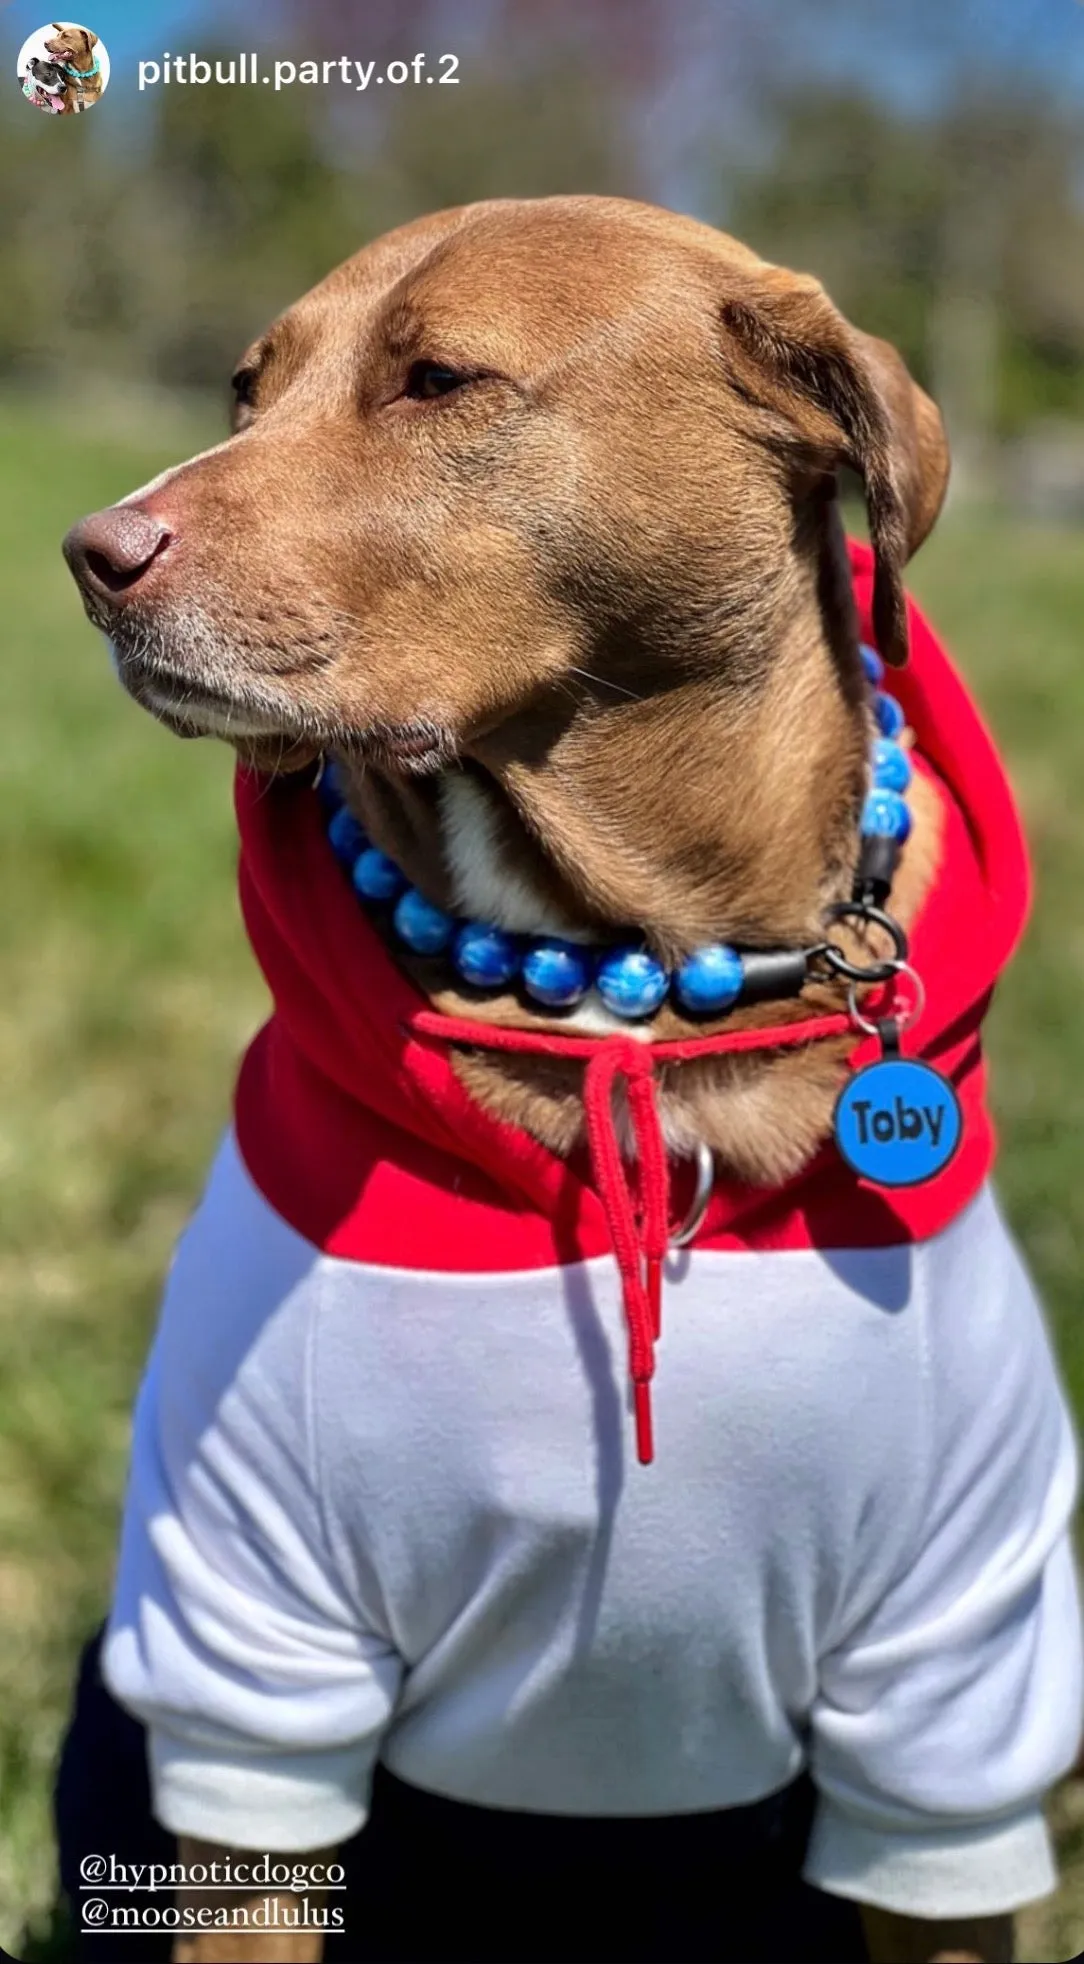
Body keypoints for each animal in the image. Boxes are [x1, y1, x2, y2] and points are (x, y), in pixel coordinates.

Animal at [61, 199, 1052, 1964]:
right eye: (250, 387)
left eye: (438, 380)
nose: (92, 556)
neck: (623, 992)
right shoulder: (254, 1662)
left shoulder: (950, 1700)